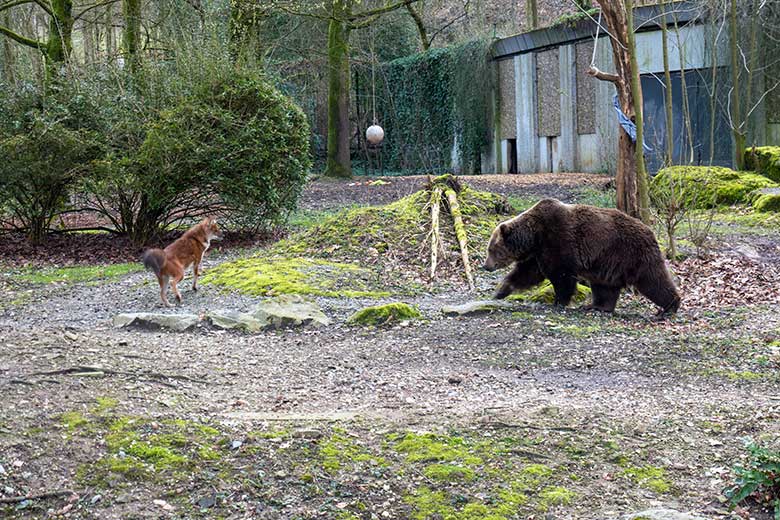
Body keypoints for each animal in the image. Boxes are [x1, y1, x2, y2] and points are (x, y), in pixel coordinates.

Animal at [484, 198, 680, 314]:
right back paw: (597, 306)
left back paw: (669, 307)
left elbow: (561, 275)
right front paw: (500, 291)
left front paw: (558, 301)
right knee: (604, 286)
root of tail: (650, 231)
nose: (485, 266)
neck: (534, 236)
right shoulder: (538, 253)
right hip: (607, 262)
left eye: (491, 249)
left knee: (653, 280)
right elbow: (526, 274)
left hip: (631, 253)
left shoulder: (557, 240)